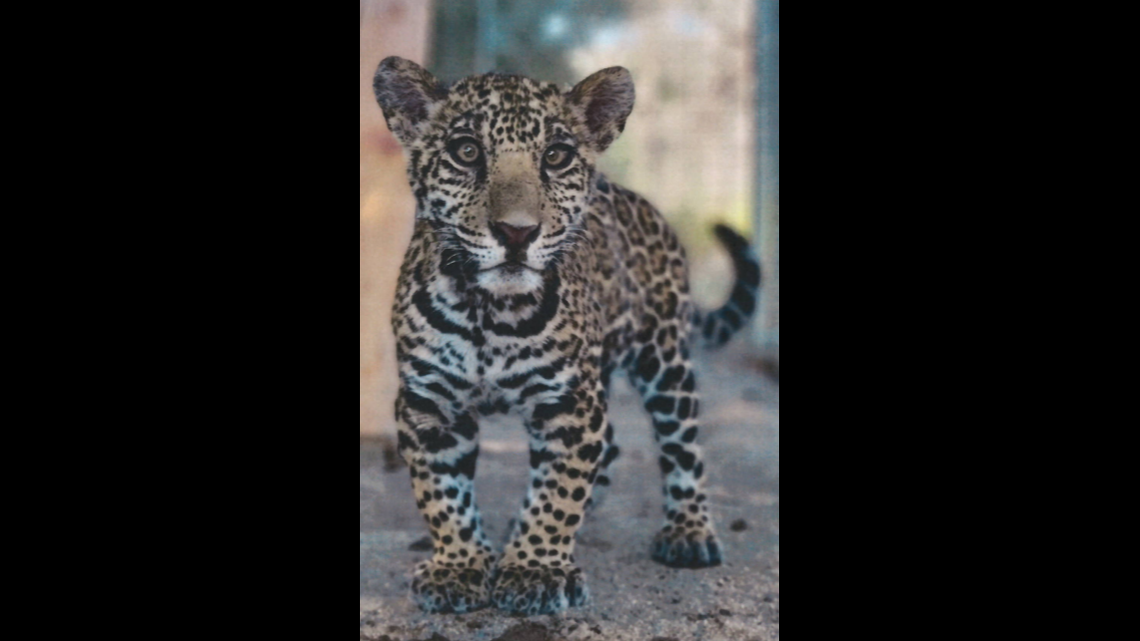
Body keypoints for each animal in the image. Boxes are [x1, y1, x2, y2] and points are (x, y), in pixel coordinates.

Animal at [372, 56, 761, 616]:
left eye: (556, 157)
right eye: (466, 151)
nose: (516, 232)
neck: (489, 312)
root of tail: (639, 201)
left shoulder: (571, 402)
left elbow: (559, 492)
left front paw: (535, 569)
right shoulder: (429, 404)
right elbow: (442, 494)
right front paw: (460, 565)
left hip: (665, 360)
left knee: (682, 445)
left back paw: (689, 533)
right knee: (612, 446)